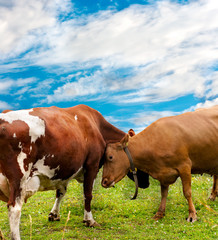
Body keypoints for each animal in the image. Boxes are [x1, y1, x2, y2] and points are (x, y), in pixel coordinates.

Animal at [0, 105, 127, 240]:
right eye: (110, 157)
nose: (106, 182)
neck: (97, 126)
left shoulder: (63, 172)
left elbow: (60, 192)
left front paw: (54, 214)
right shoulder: (92, 165)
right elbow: (88, 194)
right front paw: (89, 220)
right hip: (19, 178)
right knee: (14, 209)